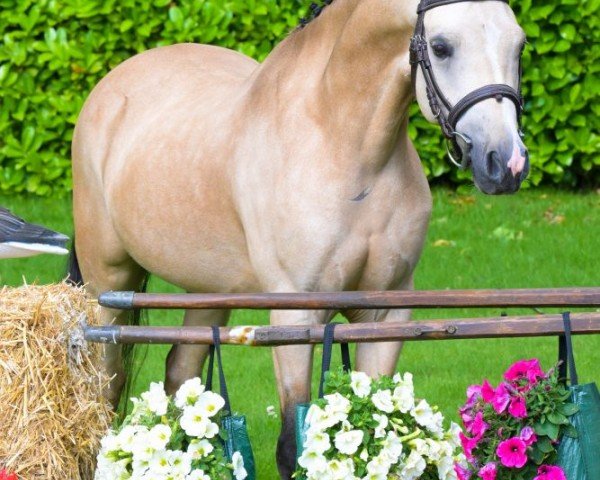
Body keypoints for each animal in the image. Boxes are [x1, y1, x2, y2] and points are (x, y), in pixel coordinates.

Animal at [70, 0, 528, 474]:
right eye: (440, 47)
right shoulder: (293, 316)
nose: (506, 163)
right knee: (106, 380)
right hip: (108, 284)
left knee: (181, 371)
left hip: (208, 293)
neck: (345, 150)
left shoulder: (387, 314)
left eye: (519, 44)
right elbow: (293, 445)